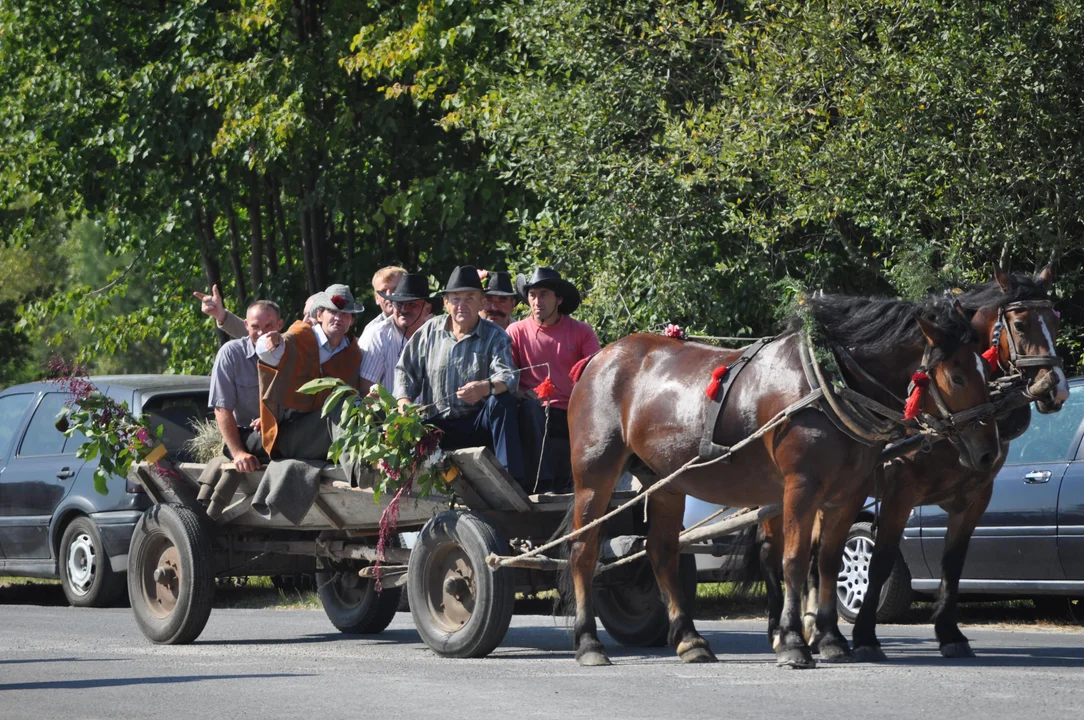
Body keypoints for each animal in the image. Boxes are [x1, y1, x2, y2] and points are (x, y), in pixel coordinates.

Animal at [568, 292, 997, 667]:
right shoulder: (801, 488)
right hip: (594, 476)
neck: (827, 385)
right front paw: (793, 642)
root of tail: (599, 358)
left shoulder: (849, 494)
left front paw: (831, 638)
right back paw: (588, 643)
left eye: (985, 367)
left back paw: (690, 640)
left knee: (660, 553)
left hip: (664, 482)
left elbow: (827, 562)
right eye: (957, 377)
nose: (988, 452)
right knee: (583, 552)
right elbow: (794, 560)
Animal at [780, 265, 1066, 663]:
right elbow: (881, 562)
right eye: (1021, 324)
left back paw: (812, 630)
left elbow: (953, 563)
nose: (1056, 389)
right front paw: (865, 635)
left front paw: (949, 633)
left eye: (1055, 321)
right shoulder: (899, 495)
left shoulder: (975, 498)